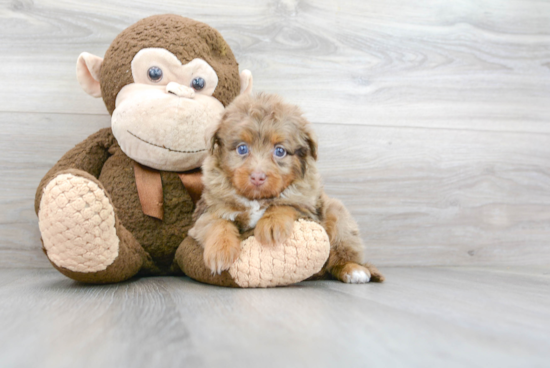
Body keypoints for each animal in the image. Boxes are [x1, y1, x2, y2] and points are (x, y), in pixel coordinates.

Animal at [192, 92, 386, 284]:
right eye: (242, 149)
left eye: (280, 151)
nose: (257, 177)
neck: (257, 199)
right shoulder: (207, 210)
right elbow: (218, 223)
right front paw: (220, 252)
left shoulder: (307, 208)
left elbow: (285, 204)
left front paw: (271, 224)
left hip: (338, 216)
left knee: (340, 253)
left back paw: (353, 269)